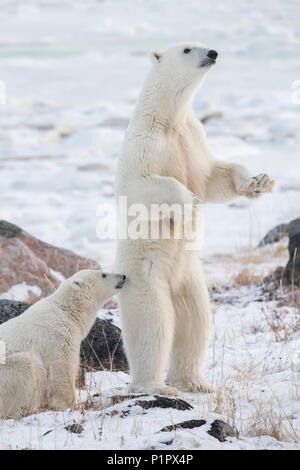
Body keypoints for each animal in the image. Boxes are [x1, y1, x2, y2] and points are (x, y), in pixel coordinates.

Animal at [0, 268, 125, 418]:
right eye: (103, 274)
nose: (123, 276)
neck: (66, 310)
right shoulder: (58, 334)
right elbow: (62, 367)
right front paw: (67, 404)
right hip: (6, 373)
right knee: (28, 365)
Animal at [116, 41, 276, 396]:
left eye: (202, 43)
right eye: (188, 49)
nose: (213, 53)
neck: (168, 120)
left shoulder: (193, 137)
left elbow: (215, 175)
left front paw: (259, 181)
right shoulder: (145, 145)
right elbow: (142, 185)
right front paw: (191, 202)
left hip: (190, 279)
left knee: (195, 322)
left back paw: (194, 381)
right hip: (145, 277)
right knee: (153, 325)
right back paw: (155, 385)